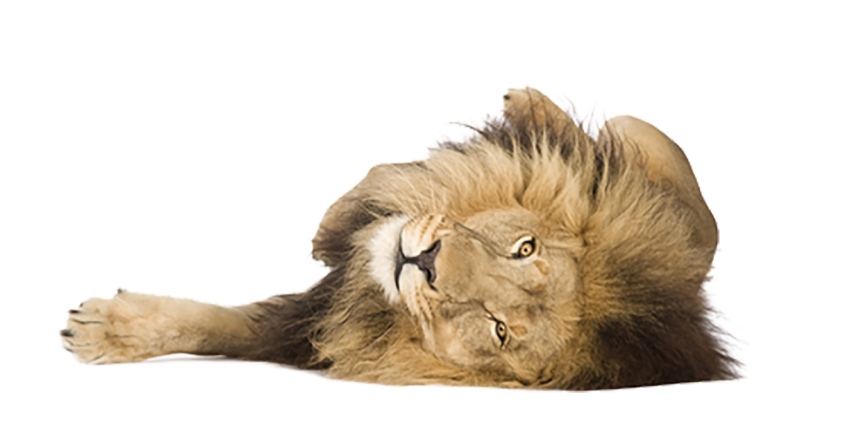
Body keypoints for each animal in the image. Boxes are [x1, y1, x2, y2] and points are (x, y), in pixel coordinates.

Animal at [60, 87, 737, 389]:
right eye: (524, 247)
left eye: (499, 329)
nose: (426, 261)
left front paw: (99, 332)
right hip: (640, 137)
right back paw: (533, 109)